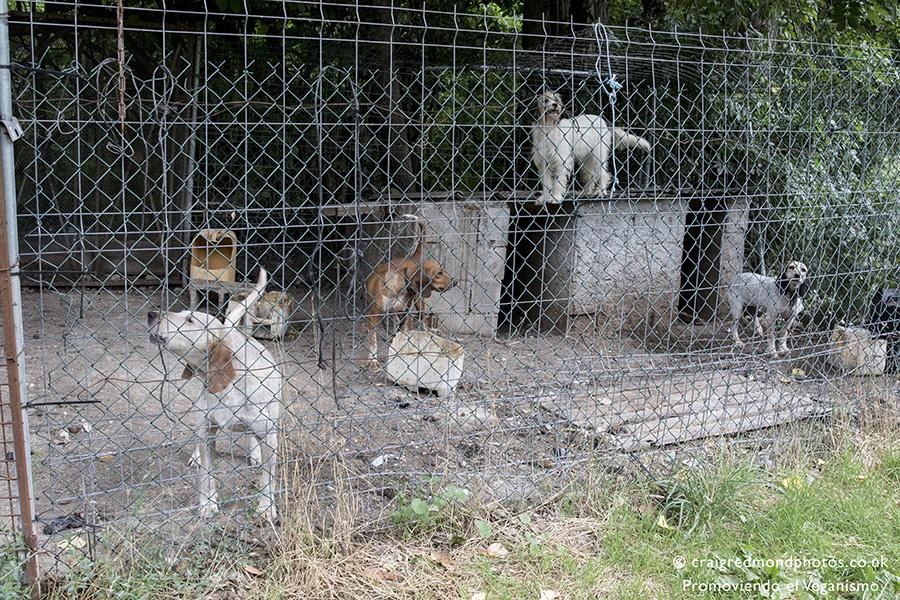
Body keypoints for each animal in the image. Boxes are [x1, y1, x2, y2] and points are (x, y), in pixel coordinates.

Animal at [362, 213, 454, 368]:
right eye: (438, 274)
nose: (455, 282)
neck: (401, 287)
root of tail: (412, 258)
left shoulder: (405, 313)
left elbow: (405, 332)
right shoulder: (373, 316)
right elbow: (373, 341)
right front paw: (373, 360)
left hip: (418, 303)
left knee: (423, 321)